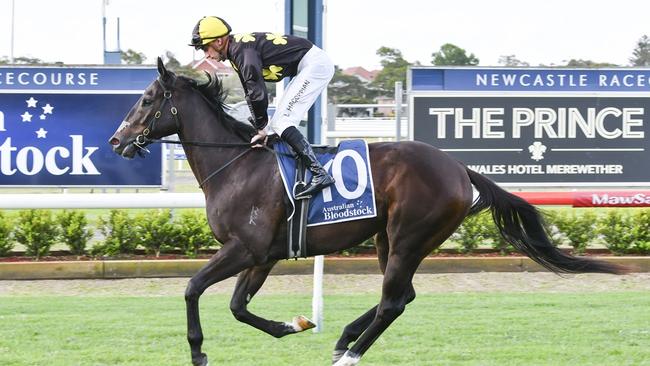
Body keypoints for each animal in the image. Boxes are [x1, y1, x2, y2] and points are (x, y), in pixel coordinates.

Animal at [109, 58, 624, 366]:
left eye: (148, 99)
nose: (116, 140)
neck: (237, 166)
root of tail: (458, 167)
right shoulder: (263, 255)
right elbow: (238, 307)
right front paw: (294, 324)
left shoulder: (244, 248)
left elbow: (193, 288)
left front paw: (198, 352)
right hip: (386, 238)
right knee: (402, 295)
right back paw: (342, 337)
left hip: (410, 236)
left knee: (395, 300)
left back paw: (349, 354)